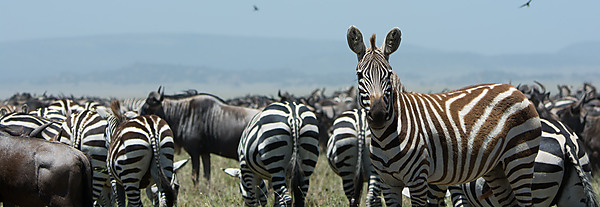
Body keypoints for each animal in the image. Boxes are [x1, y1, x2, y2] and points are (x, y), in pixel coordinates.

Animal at [344, 26, 540, 207]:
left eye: (389, 74)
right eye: (359, 75)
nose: (378, 115)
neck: (385, 138)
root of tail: (515, 89)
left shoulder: (418, 179)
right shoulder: (388, 183)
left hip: (520, 159)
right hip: (496, 168)